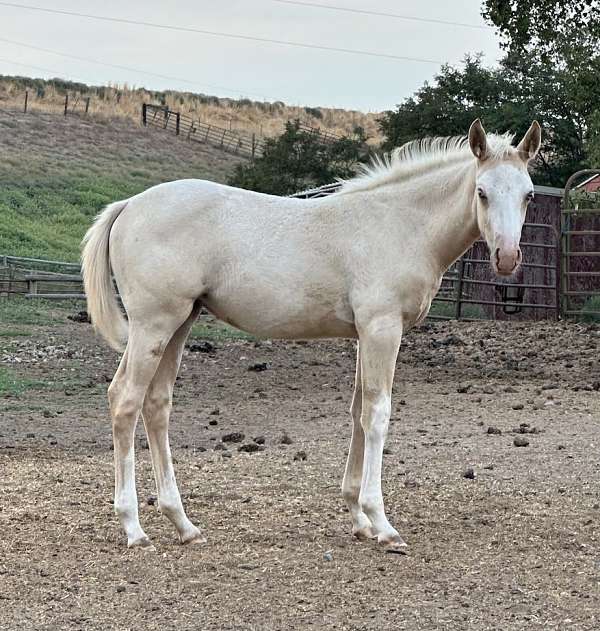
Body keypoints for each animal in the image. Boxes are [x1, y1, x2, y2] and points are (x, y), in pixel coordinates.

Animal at [82, 118, 540, 552]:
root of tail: (129, 205)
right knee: (125, 400)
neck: (398, 224)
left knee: (156, 406)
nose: (507, 258)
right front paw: (383, 524)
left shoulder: (364, 334)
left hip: (180, 324)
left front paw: (359, 519)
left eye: (529, 194)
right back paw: (134, 528)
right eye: (482, 192)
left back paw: (184, 525)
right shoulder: (382, 328)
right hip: (153, 326)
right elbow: (378, 414)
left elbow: (358, 412)